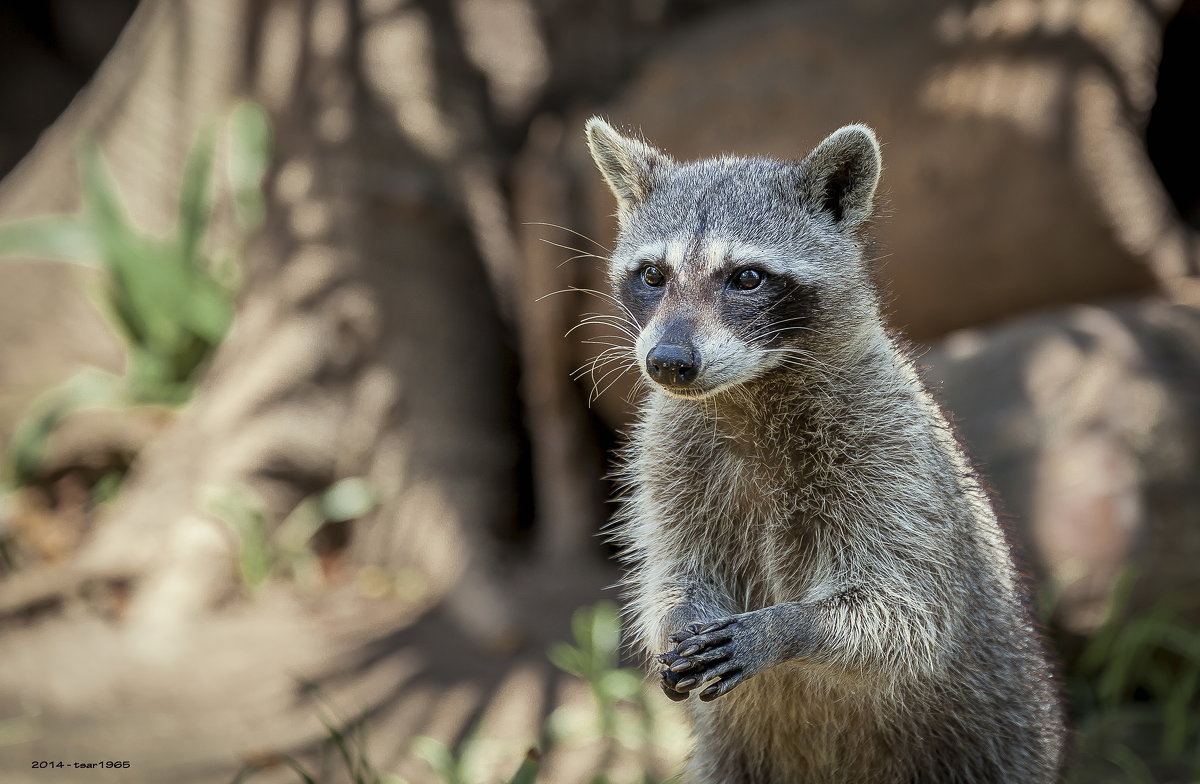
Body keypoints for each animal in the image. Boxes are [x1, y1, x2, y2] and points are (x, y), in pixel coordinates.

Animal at [585, 119, 1065, 782]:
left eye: (747, 277)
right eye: (653, 274)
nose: (668, 362)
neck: (748, 391)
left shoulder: (888, 451)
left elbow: (906, 614)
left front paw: (790, 627)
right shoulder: (667, 455)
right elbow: (672, 567)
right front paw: (674, 612)